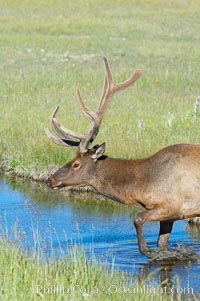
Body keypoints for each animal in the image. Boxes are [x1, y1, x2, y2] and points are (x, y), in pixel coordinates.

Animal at [45, 57, 200, 256]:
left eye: (76, 164)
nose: (50, 180)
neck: (142, 185)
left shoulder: (173, 205)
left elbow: (138, 222)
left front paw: (163, 252)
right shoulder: (168, 215)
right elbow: (161, 243)